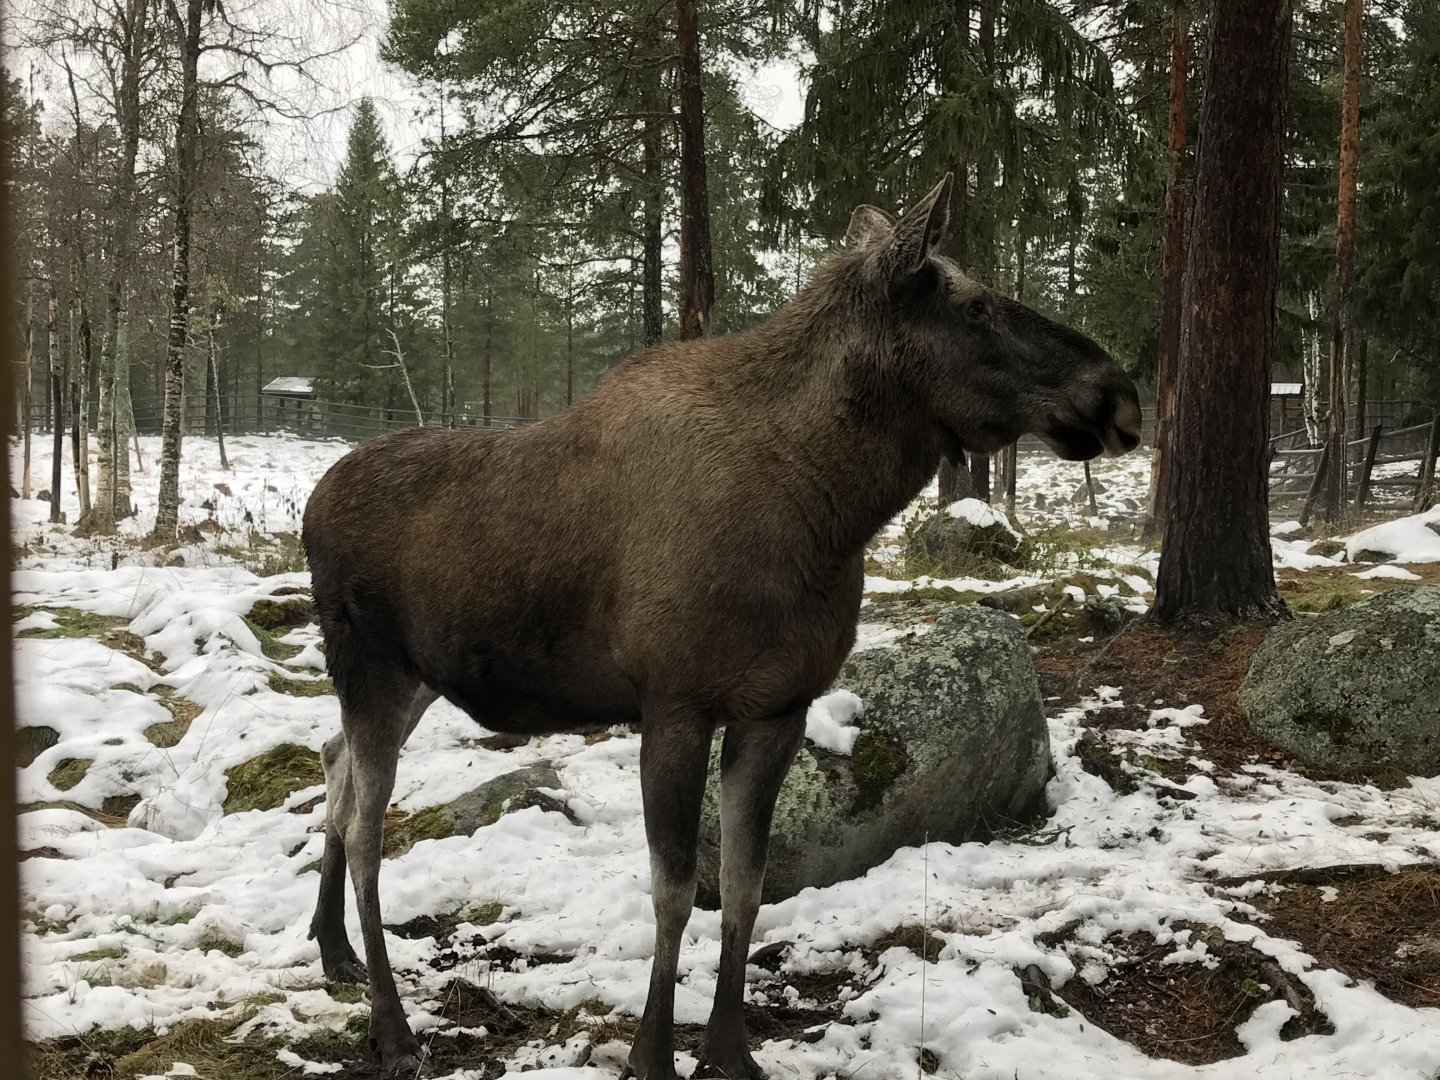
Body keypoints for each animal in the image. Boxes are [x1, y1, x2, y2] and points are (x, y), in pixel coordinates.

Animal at [300, 175, 1142, 1078]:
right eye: (975, 304)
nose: (1121, 394)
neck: (829, 511)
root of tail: (311, 506)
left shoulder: (777, 705)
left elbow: (745, 883)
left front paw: (730, 1050)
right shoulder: (675, 702)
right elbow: (674, 891)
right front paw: (651, 1052)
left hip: (415, 679)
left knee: (334, 768)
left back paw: (333, 950)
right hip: (371, 668)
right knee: (364, 828)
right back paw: (392, 1027)